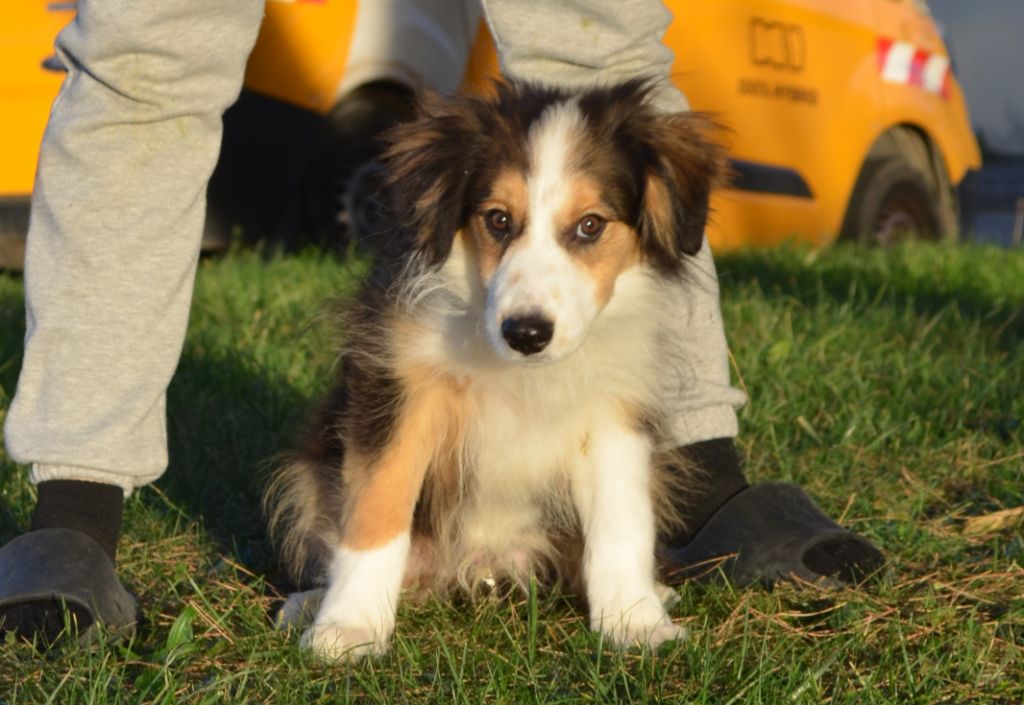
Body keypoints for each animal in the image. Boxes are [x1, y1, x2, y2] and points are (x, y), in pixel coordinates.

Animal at [268, 78, 724, 659]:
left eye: (590, 226)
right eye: (498, 219)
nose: (526, 334)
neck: (520, 371)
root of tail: (485, 563)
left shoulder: (612, 410)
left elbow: (621, 519)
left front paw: (633, 621)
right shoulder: (399, 388)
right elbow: (377, 506)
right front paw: (350, 627)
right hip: (313, 468)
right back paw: (309, 603)